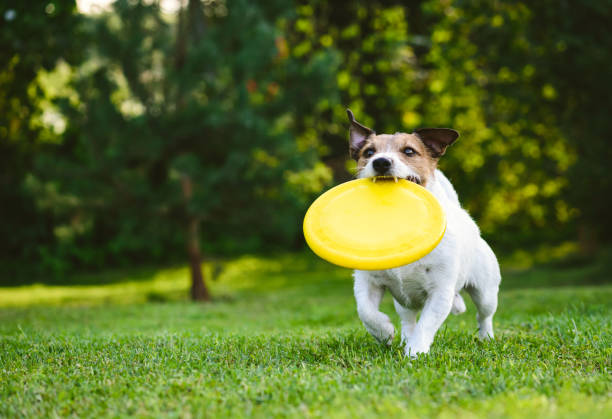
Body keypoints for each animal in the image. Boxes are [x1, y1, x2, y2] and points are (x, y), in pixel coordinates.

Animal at [346, 108, 500, 358]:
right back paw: (402, 338)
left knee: (484, 315)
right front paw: (384, 332)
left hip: (486, 291)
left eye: (409, 151)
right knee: (408, 319)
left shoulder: (440, 292)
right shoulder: (367, 282)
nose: (380, 162)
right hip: (404, 301)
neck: (399, 224)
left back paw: (486, 338)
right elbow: (365, 311)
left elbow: (426, 324)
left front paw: (415, 352)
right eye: (368, 152)